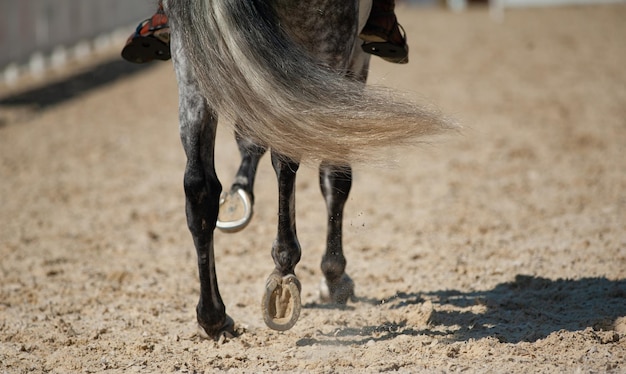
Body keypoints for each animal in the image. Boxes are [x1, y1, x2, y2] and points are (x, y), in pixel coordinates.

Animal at [162, 0, 444, 338]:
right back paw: (284, 275)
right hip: (327, 39)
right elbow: (336, 178)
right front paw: (334, 277)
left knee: (199, 187)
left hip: (189, 63)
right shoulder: (353, 60)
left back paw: (213, 316)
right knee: (287, 161)